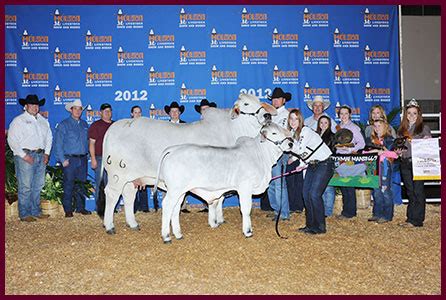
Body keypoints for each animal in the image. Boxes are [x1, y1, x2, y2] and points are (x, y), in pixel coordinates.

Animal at [101, 92, 278, 233]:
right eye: (246, 104)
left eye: (260, 102)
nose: (267, 116)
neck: (232, 130)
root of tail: (115, 126)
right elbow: (218, 198)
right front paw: (215, 220)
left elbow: (220, 197)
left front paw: (219, 218)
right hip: (118, 174)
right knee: (112, 194)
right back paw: (109, 226)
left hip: (131, 178)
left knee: (128, 196)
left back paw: (132, 223)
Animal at [153, 122, 292, 244]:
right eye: (274, 133)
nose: (291, 143)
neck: (260, 156)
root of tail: (174, 149)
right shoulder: (245, 188)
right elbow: (246, 209)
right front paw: (248, 231)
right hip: (174, 190)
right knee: (167, 206)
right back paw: (166, 237)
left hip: (181, 191)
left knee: (175, 208)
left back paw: (178, 234)